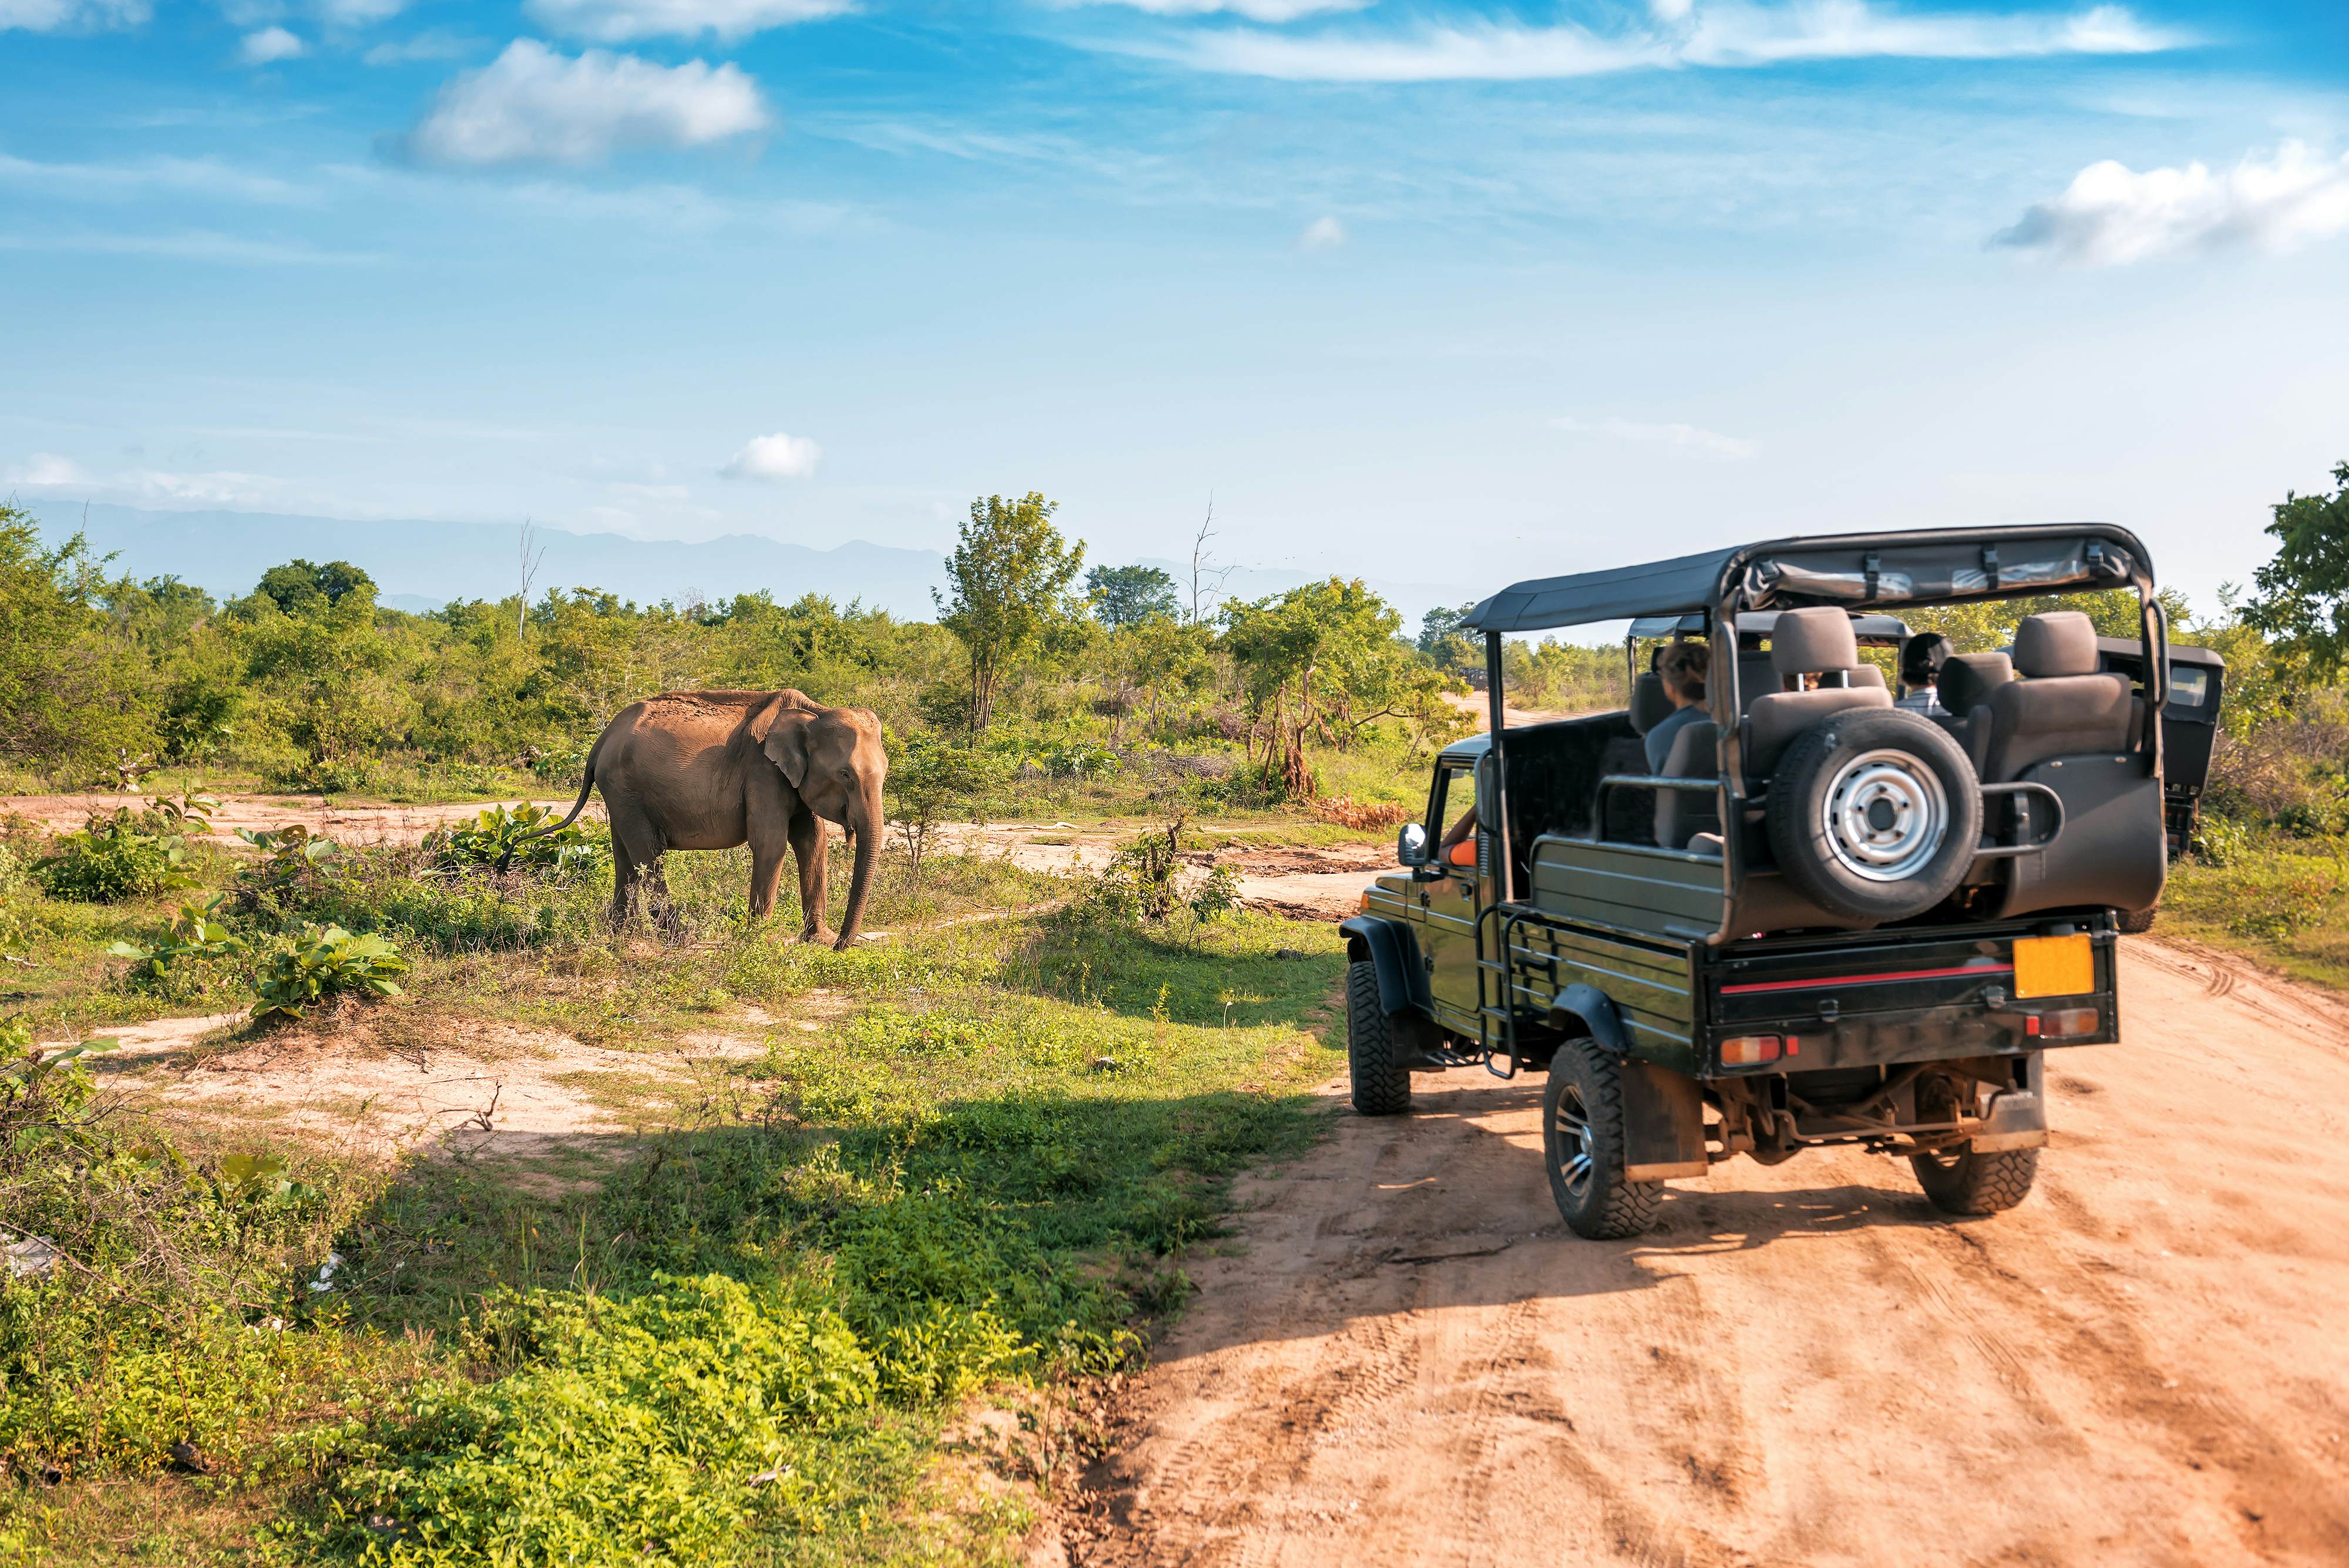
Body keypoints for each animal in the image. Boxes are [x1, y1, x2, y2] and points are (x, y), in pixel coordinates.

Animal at [514, 685, 888, 943]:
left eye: (885, 771)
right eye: (845, 775)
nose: (844, 944)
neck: (815, 712)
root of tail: (601, 740)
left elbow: (813, 842)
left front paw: (818, 940)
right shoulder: (763, 772)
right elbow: (771, 844)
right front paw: (759, 941)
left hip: (619, 792)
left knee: (625, 855)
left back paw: (622, 935)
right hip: (624, 787)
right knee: (648, 852)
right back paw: (681, 937)